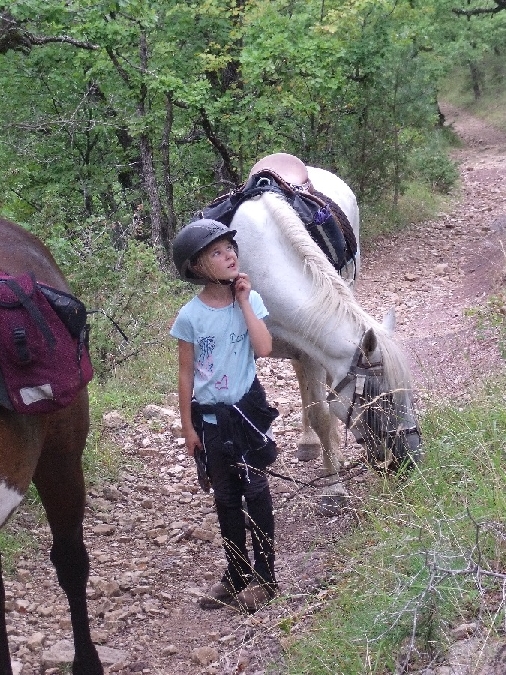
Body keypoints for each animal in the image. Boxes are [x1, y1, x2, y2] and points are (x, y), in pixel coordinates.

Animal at [230, 156, 422, 510]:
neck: (261, 261)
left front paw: (333, 480)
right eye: (382, 400)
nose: (413, 460)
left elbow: (321, 409)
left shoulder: (310, 345)